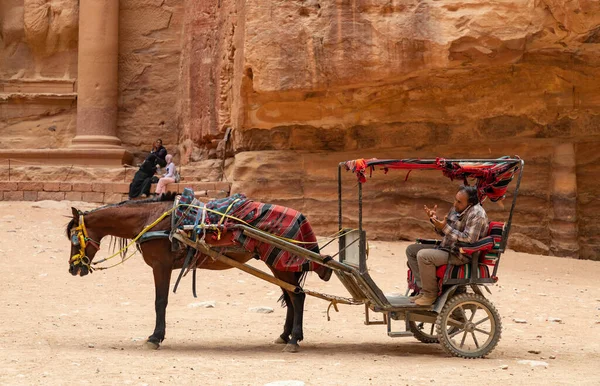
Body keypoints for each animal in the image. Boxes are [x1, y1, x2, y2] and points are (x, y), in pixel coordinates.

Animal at [65, 193, 332, 352]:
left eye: (74, 240)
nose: (72, 268)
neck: (151, 219)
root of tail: (300, 217)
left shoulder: (161, 266)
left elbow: (160, 302)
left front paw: (155, 338)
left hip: (281, 263)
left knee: (297, 297)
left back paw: (294, 339)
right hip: (279, 264)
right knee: (290, 297)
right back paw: (284, 335)